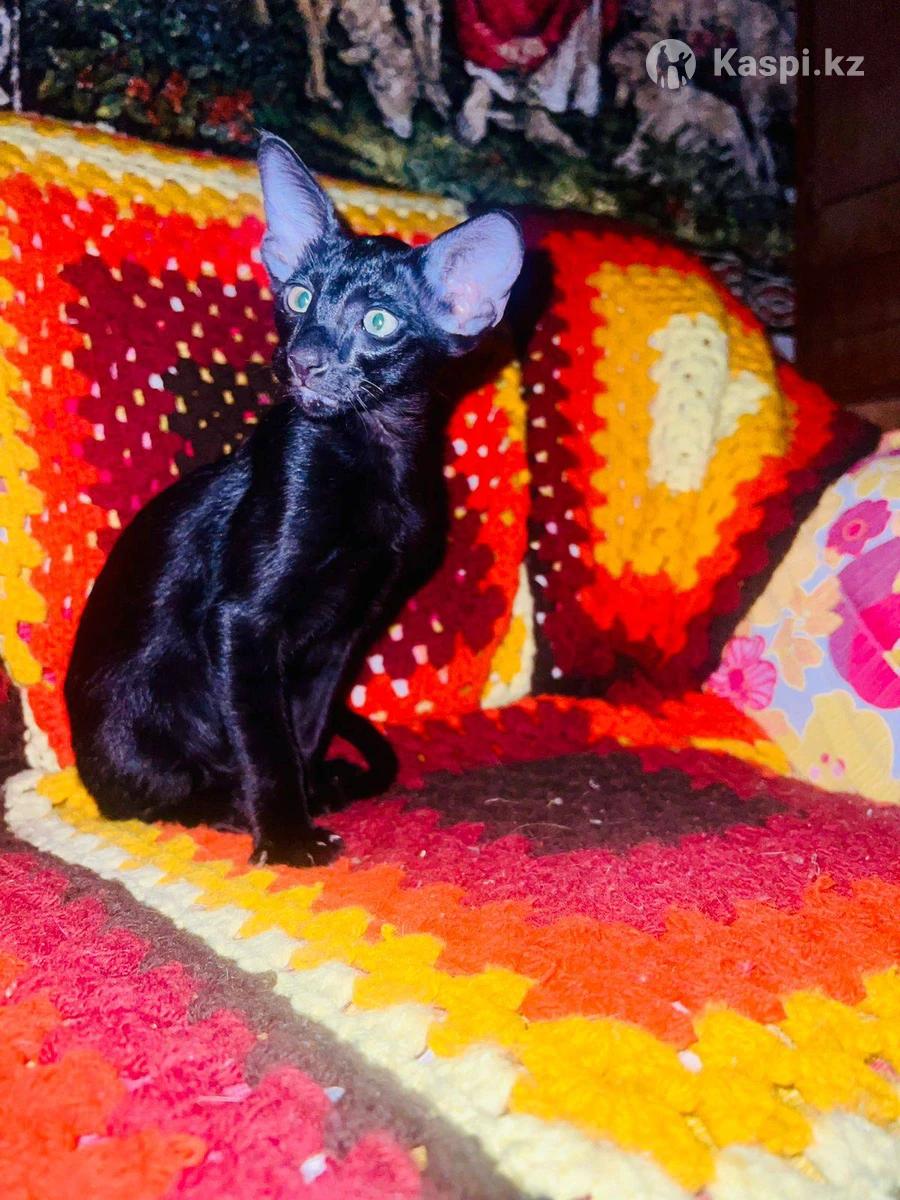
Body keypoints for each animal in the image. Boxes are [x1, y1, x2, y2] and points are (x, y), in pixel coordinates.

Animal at [64, 132, 524, 867]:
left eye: (379, 321)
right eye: (301, 298)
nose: (305, 358)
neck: (374, 458)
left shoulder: (346, 630)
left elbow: (303, 728)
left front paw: (308, 794)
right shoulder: (244, 620)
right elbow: (266, 740)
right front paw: (284, 836)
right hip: (134, 724)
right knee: (144, 797)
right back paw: (226, 804)